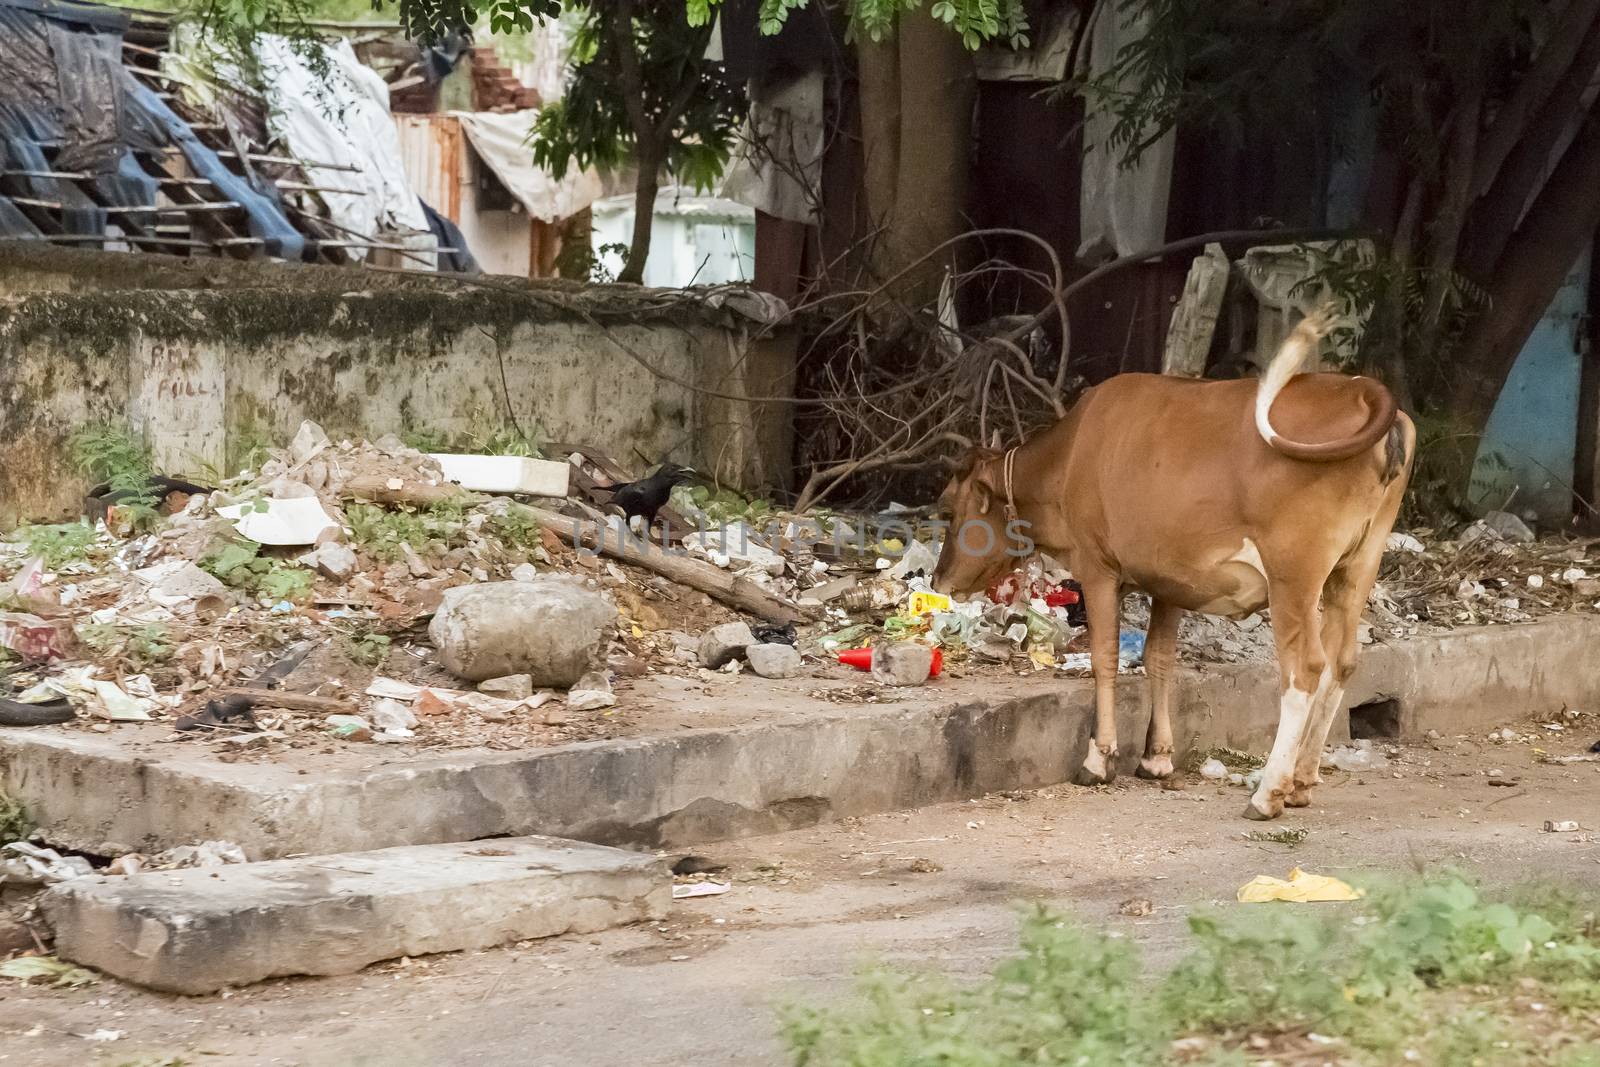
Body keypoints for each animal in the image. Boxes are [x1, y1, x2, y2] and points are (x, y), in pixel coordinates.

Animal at [934, 313, 1420, 825]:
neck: (1068, 458)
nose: (939, 579)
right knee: (1342, 663)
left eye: (946, 507)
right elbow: (1160, 659)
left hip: (1295, 574)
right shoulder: (1171, 579)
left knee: (1305, 667)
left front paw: (1098, 759)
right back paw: (1302, 782)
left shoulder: (1099, 567)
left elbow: (1105, 657)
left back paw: (1268, 793)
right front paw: (1157, 758)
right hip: (1358, 567)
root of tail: (1362, 389)